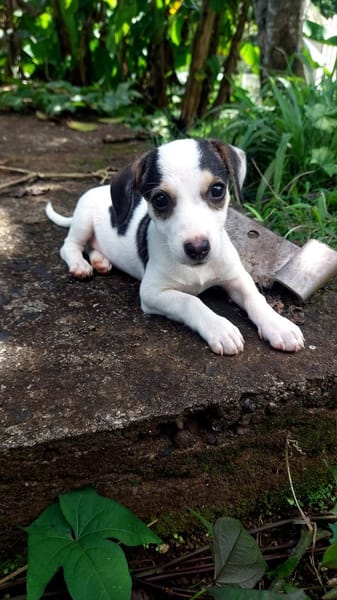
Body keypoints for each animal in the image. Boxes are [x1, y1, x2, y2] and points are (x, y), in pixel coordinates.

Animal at [46, 139, 304, 356]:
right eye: (160, 199)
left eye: (217, 190)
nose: (198, 248)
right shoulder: (152, 293)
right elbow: (190, 301)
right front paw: (220, 328)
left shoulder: (236, 277)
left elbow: (255, 298)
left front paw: (278, 325)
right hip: (83, 221)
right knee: (69, 245)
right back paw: (80, 265)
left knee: (92, 246)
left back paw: (100, 261)